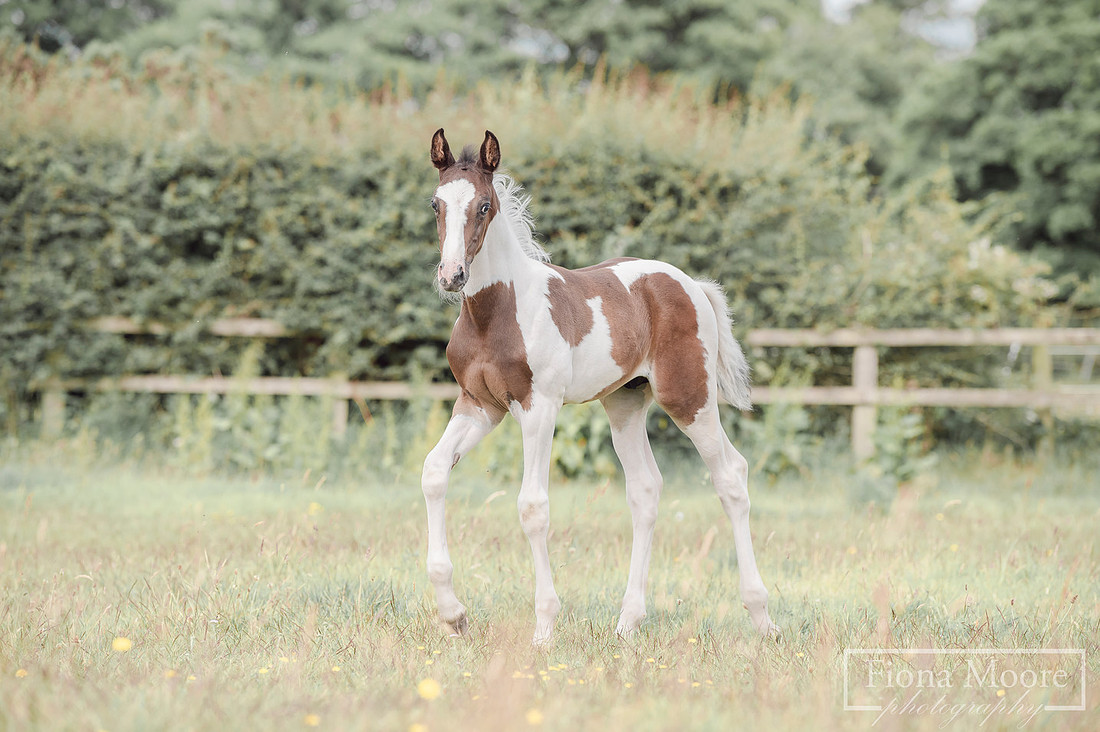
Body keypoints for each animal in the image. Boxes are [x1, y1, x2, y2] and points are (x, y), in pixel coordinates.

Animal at [420, 128, 778, 646]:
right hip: (625, 403)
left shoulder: (539, 406)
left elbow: (533, 506)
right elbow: (434, 472)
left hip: (689, 398)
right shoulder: (480, 405)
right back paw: (628, 622)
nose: (452, 276)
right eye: (436, 203)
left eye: (484, 205)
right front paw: (454, 615)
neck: (497, 312)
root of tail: (691, 283)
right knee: (645, 489)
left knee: (731, 476)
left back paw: (762, 617)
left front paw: (544, 629)